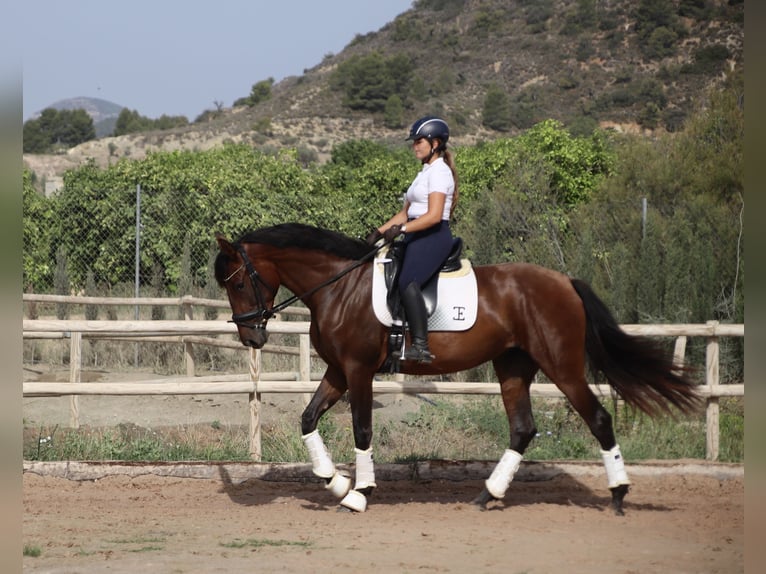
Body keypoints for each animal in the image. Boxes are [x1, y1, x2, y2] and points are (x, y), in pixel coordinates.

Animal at [214, 224, 704, 516]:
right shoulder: (337, 370)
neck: (339, 286)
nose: (251, 337)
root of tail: (564, 281)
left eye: (237, 282)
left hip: (561, 365)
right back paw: (489, 494)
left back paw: (618, 493)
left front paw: (360, 493)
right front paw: (335, 484)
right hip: (513, 365)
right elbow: (308, 418)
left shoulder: (358, 370)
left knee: (598, 418)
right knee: (523, 428)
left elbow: (362, 431)